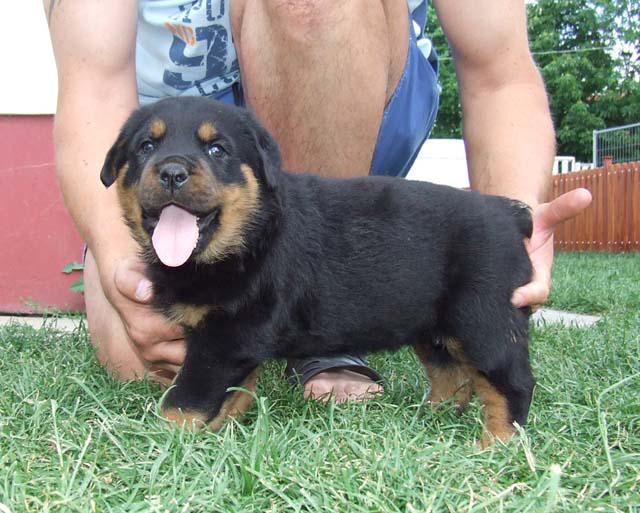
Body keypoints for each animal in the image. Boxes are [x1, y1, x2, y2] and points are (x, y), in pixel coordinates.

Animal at [101, 97, 536, 448]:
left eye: (217, 149)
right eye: (146, 146)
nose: (172, 172)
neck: (248, 237)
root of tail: (510, 214)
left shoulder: (224, 337)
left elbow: (186, 398)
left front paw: (161, 441)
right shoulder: (234, 341)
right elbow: (234, 390)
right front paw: (222, 430)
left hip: (484, 320)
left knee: (511, 383)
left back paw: (494, 445)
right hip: (433, 327)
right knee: (453, 375)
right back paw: (430, 418)